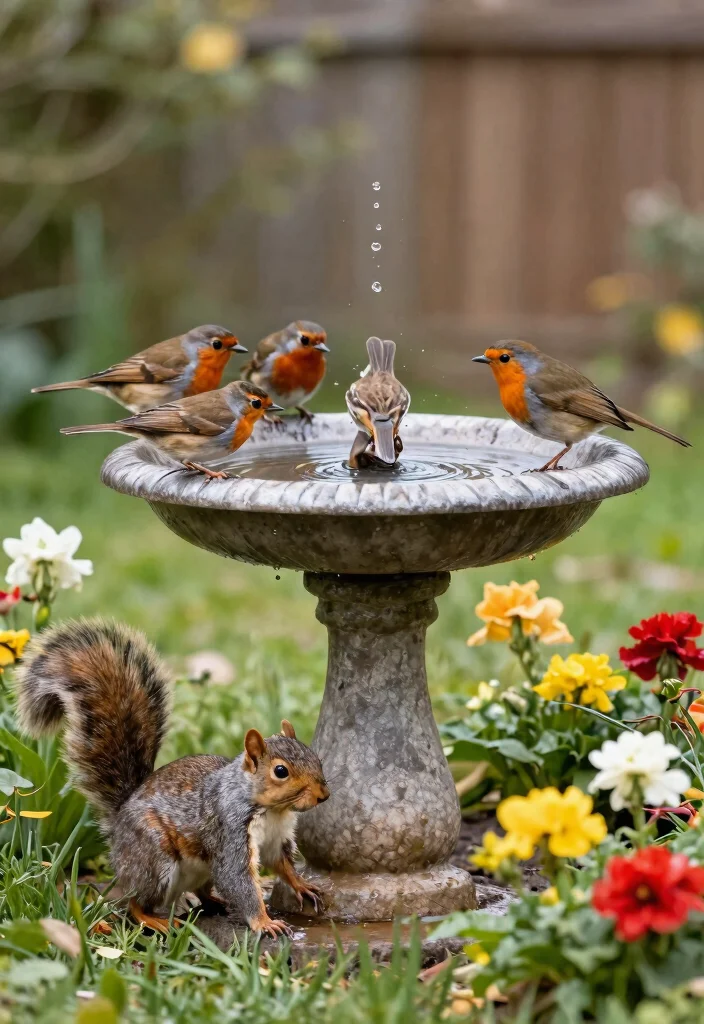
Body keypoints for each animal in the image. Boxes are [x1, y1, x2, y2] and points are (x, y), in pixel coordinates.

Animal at [16, 618, 329, 937]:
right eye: (281, 771)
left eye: (316, 758)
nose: (323, 796)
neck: (273, 810)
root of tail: (118, 823)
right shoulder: (230, 831)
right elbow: (237, 879)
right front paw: (264, 922)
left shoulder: (276, 839)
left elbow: (282, 865)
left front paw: (301, 885)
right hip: (155, 861)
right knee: (135, 902)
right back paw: (155, 919)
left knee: (202, 891)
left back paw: (214, 902)